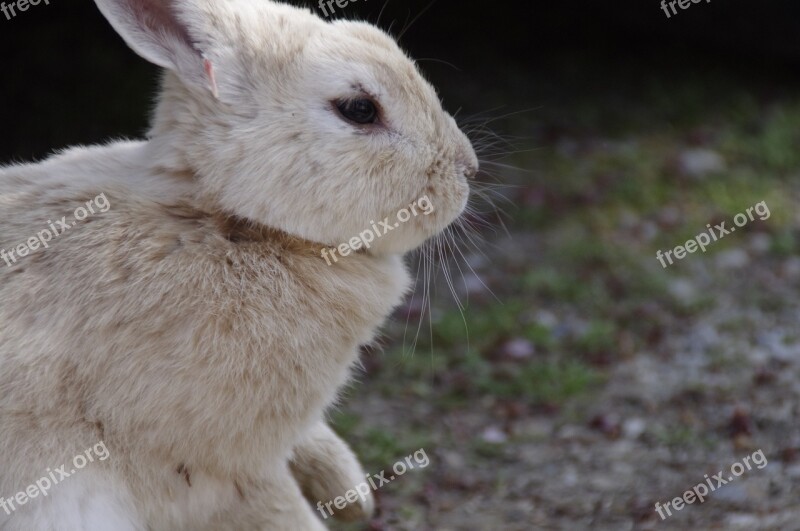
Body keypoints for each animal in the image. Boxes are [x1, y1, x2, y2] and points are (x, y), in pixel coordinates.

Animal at [0, 0, 476, 528]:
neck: (230, 223)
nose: (469, 168)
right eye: (359, 109)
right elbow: (280, 509)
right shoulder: (223, 467)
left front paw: (352, 494)